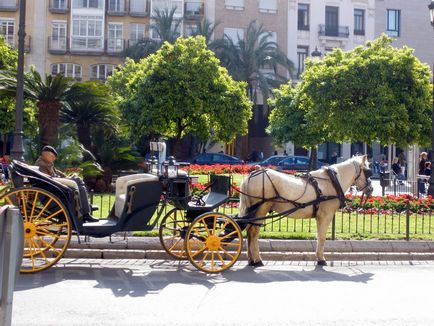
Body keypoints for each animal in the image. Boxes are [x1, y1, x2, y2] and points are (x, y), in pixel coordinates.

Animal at [237, 155, 372, 264]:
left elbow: (319, 236)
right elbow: (322, 236)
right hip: (261, 208)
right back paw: (257, 259)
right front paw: (321, 259)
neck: (332, 182)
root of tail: (251, 175)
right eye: (368, 171)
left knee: (249, 230)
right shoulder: (325, 216)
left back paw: (251, 259)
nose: (371, 189)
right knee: (254, 232)